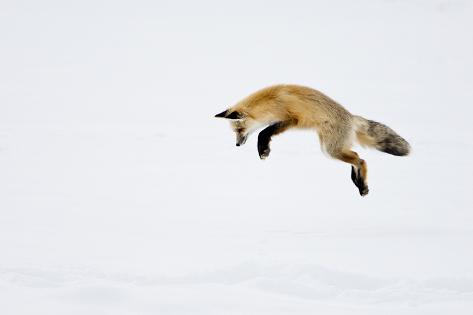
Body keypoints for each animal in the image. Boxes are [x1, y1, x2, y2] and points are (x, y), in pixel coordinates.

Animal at [215, 85, 410, 196]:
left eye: (239, 130)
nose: (237, 144)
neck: (270, 102)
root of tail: (351, 117)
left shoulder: (291, 119)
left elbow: (263, 132)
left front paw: (263, 150)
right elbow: (264, 132)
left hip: (330, 149)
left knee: (360, 159)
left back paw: (361, 184)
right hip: (332, 148)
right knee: (356, 156)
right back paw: (358, 181)